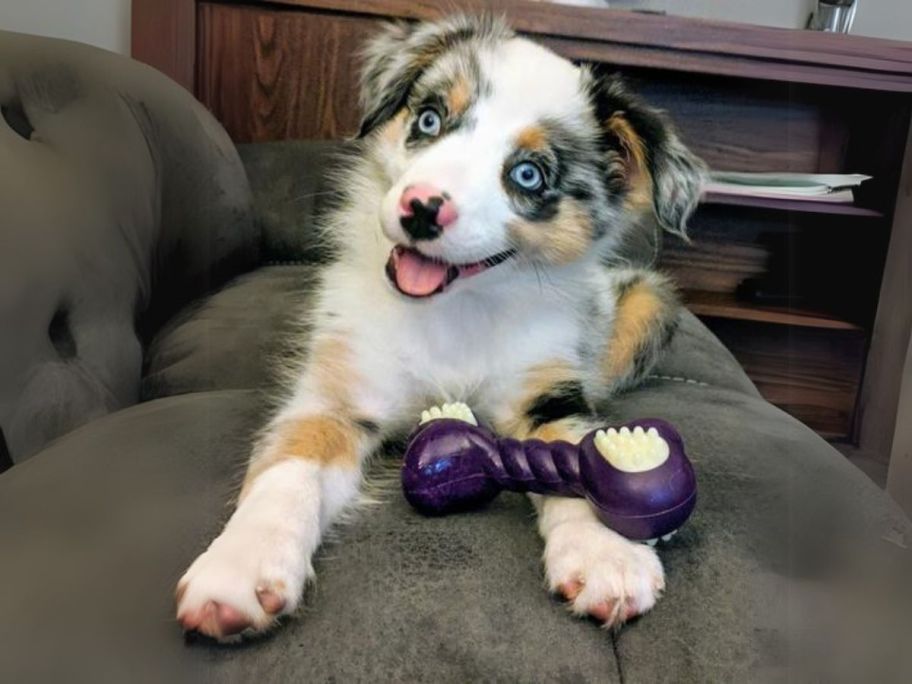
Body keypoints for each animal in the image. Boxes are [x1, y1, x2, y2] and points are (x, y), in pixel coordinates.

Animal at [176, 14, 704, 640]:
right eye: (429, 119)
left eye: (528, 175)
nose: (421, 208)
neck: (455, 310)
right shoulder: (335, 392)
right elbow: (290, 465)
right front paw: (240, 565)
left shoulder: (545, 387)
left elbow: (570, 450)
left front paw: (608, 555)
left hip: (649, 300)